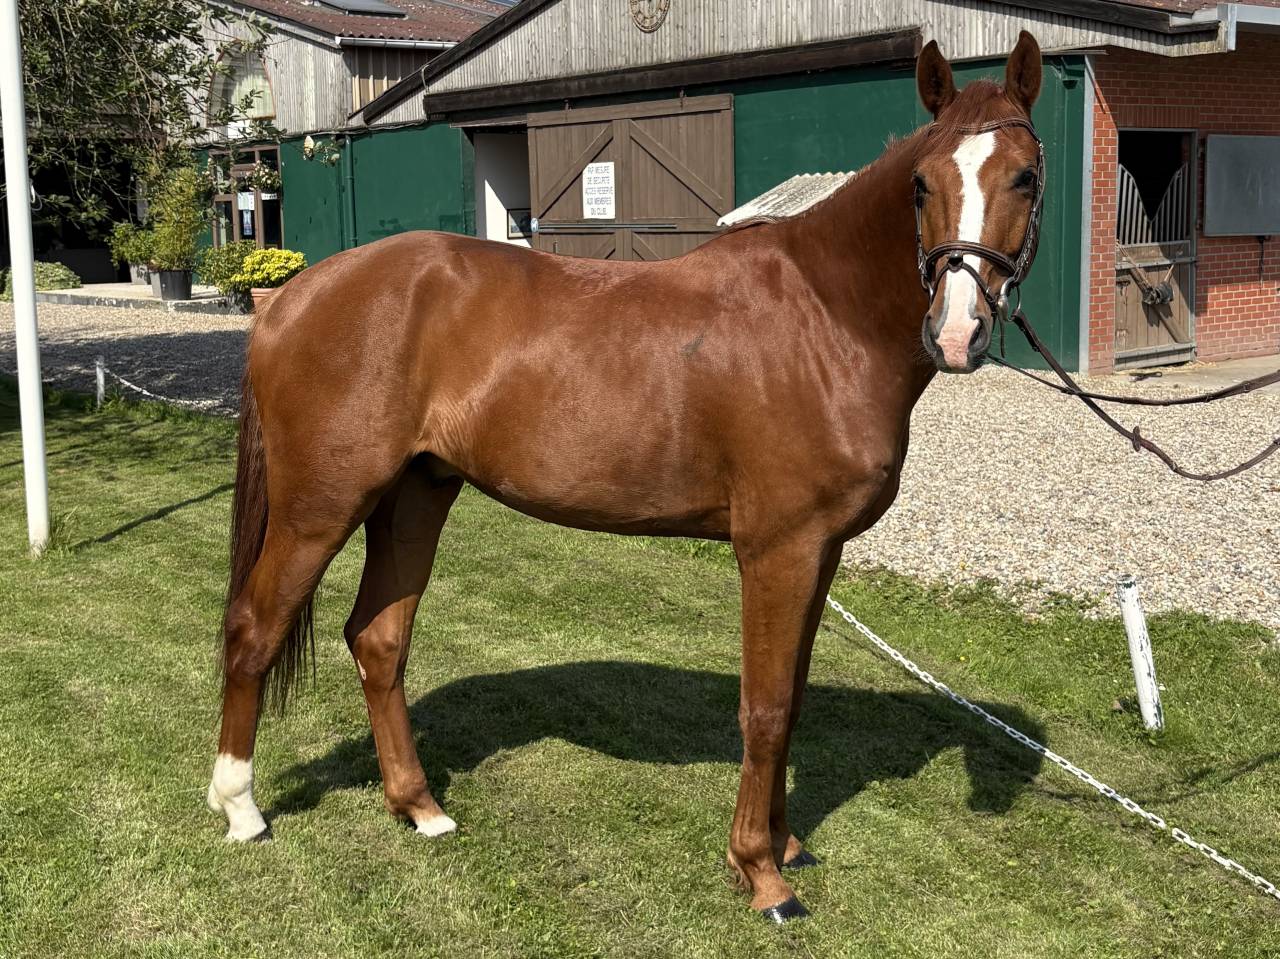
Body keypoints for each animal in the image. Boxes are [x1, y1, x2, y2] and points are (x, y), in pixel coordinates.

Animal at [207, 31, 1047, 922]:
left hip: (414, 494)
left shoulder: (822, 552)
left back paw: (419, 805)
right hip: (319, 505)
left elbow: (793, 697)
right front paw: (761, 871)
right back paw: (241, 807)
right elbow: (765, 706)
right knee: (253, 629)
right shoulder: (777, 550)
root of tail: (289, 297)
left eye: (1026, 175)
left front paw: (786, 841)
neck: (825, 318)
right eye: (922, 183)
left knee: (379, 639)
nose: (957, 331)